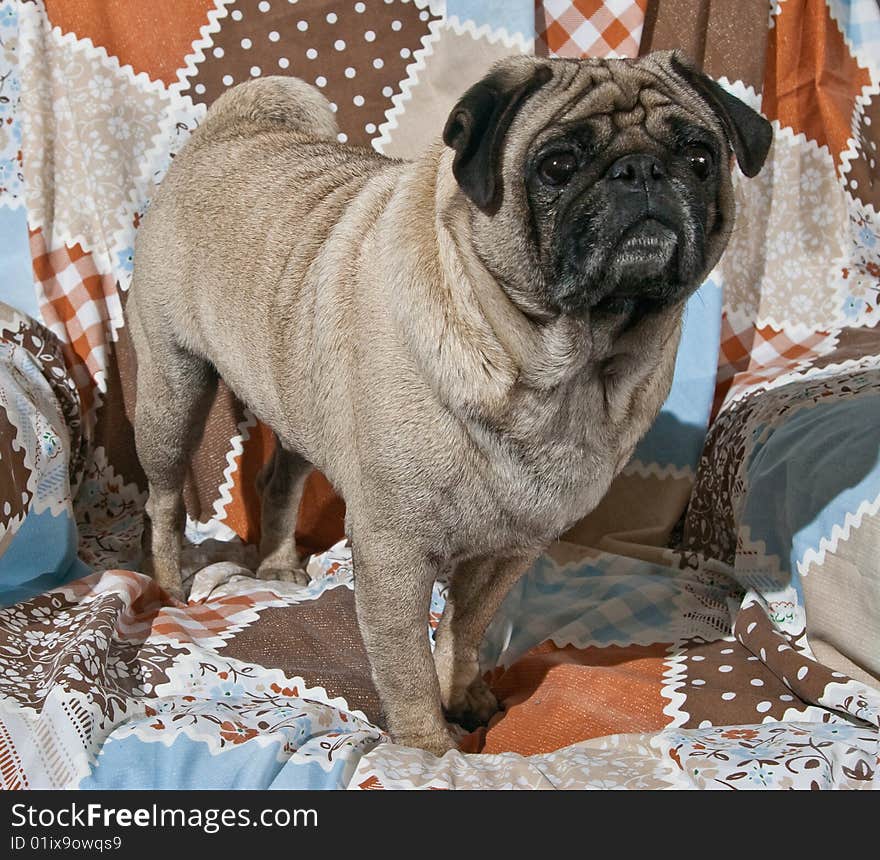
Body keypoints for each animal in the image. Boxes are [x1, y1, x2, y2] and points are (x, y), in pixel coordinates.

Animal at [129, 52, 768, 752]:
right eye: (557, 165)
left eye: (700, 157)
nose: (642, 170)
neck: (565, 374)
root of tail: (225, 133)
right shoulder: (393, 551)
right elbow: (406, 665)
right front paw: (429, 750)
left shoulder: (508, 554)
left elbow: (462, 636)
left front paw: (461, 698)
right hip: (173, 394)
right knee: (164, 499)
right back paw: (171, 585)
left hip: (298, 403)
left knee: (279, 482)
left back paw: (275, 568)